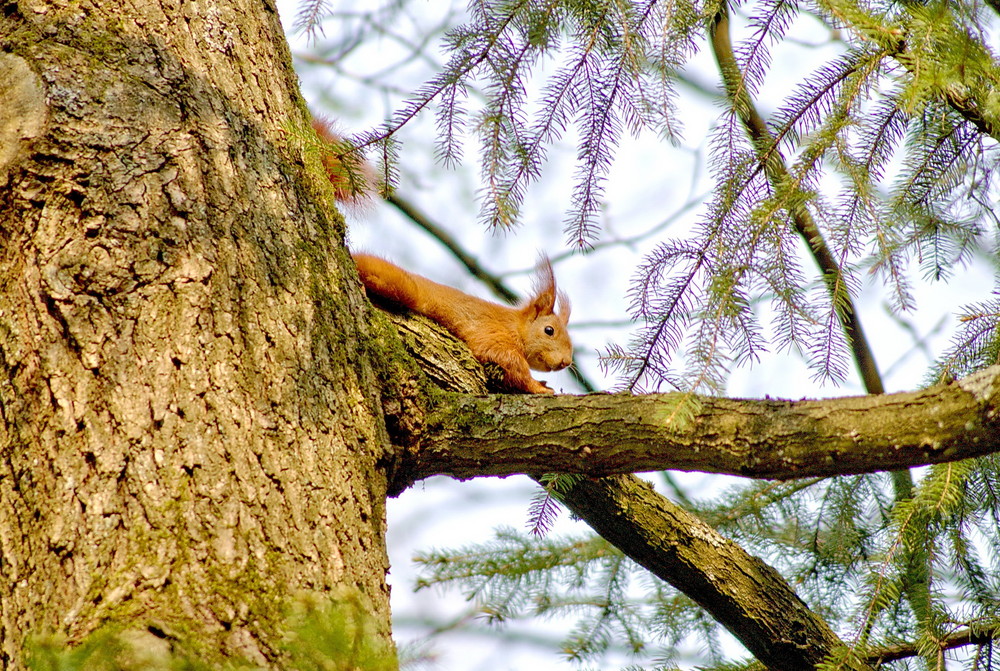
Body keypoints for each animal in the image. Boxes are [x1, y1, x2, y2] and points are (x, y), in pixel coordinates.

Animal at [354, 255, 576, 396]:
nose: (566, 362)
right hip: (398, 285)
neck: (515, 327)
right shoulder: (493, 333)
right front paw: (537, 386)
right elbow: (506, 361)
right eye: (549, 330)